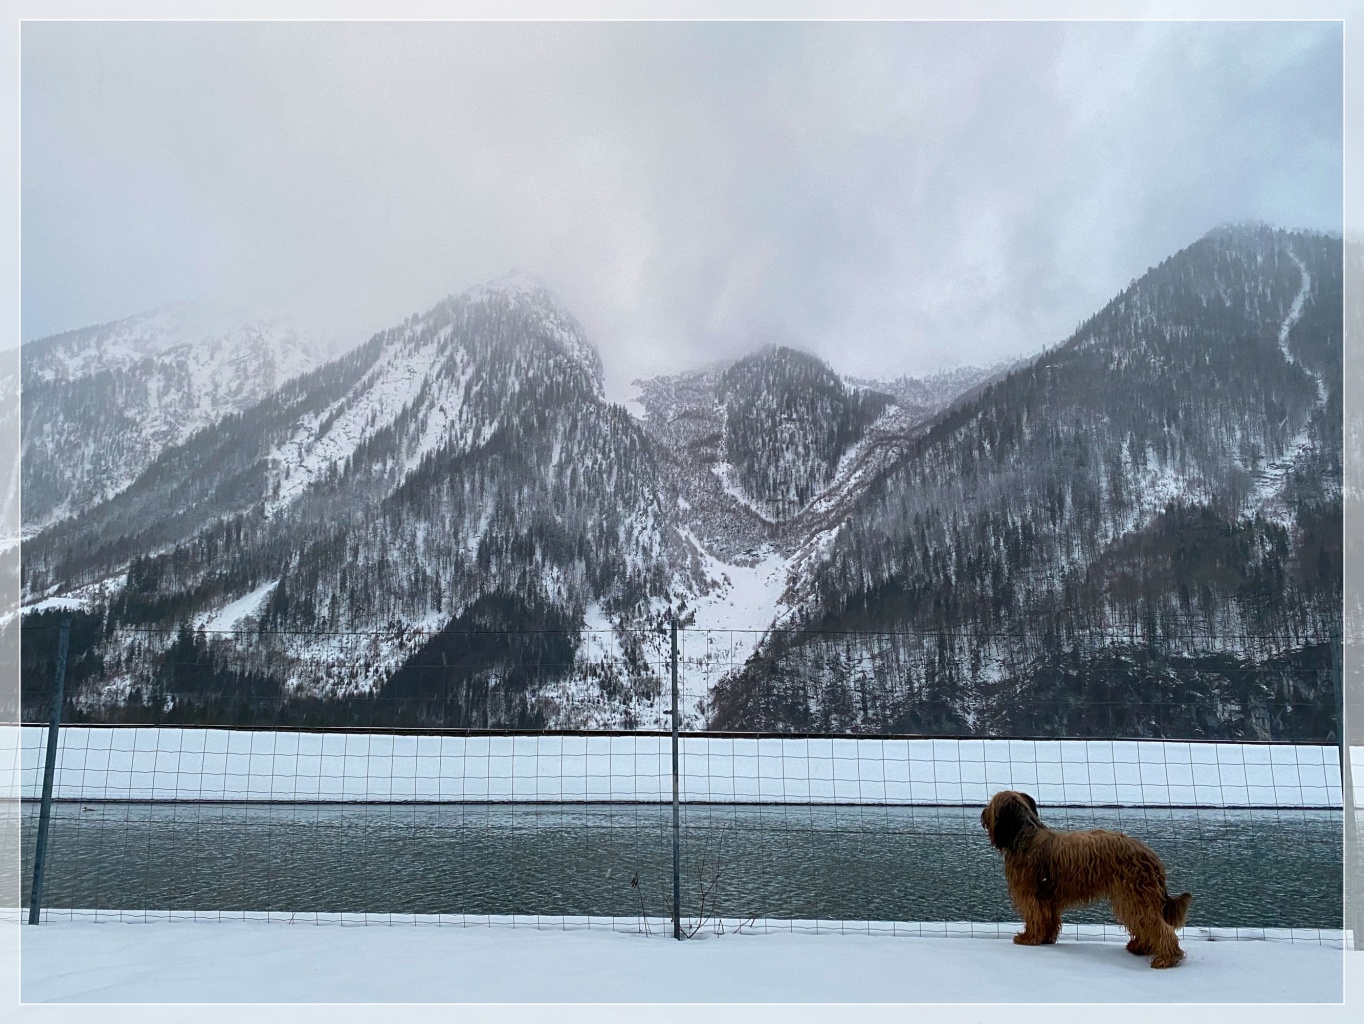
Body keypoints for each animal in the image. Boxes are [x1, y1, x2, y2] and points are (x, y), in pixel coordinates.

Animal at [982, 790, 1194, 970]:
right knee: (1143, 922)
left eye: (991, 804)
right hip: (1132, 896)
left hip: (1134, 894)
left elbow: (1035, 917)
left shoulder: (1031, 896)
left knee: (1158, 926)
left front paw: (1028, 938)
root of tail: (1151, 856)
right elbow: (1049, 920)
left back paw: (1166, 959)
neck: (1025, 834)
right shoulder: (1048, 900)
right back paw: (1140, 947)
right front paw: (1046, 939)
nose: (982, 814)